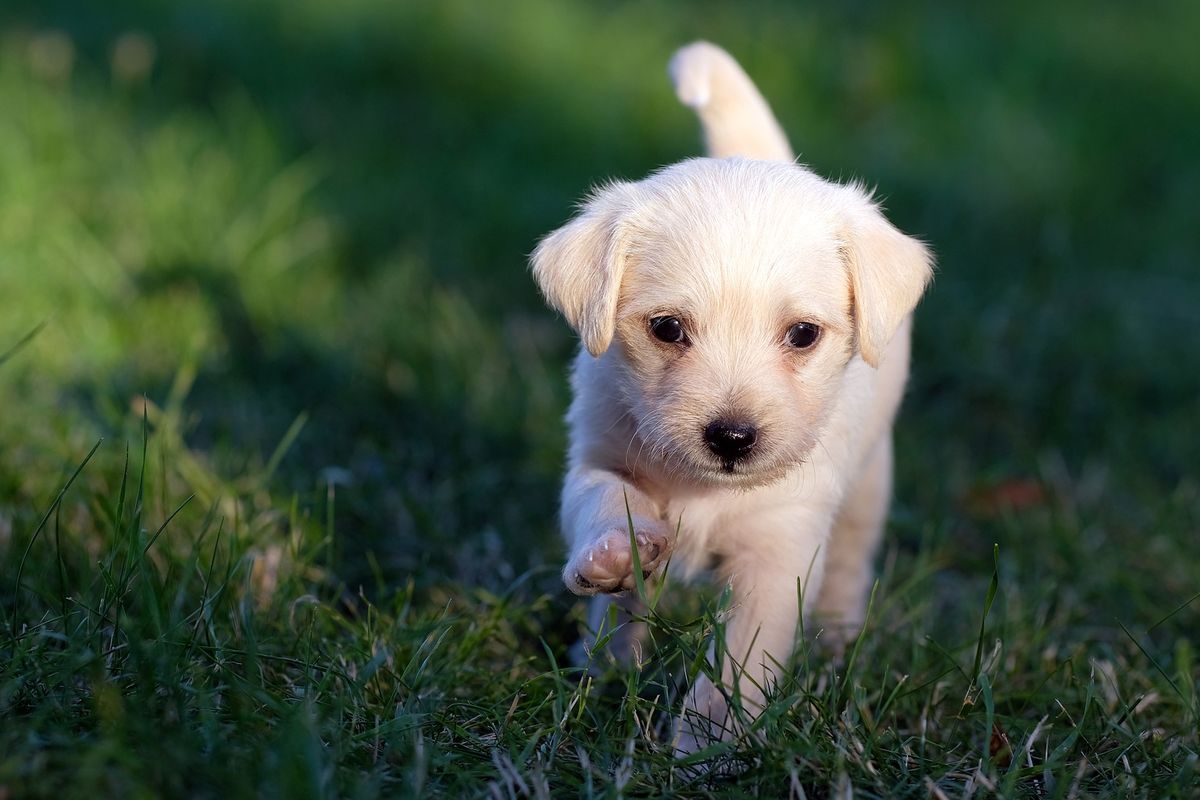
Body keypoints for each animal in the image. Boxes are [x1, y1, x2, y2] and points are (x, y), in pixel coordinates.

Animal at [530, 38, 931, 753]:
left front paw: (707, 748)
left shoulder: (779, 553)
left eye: (803, 334)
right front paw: (614, 554)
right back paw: (602, 662)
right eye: (666, 328)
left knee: (851, 562)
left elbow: (738, 665)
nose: (733, 438)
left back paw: (836, 639)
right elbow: (604, 501)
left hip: (869, 486)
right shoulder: (598, 456)